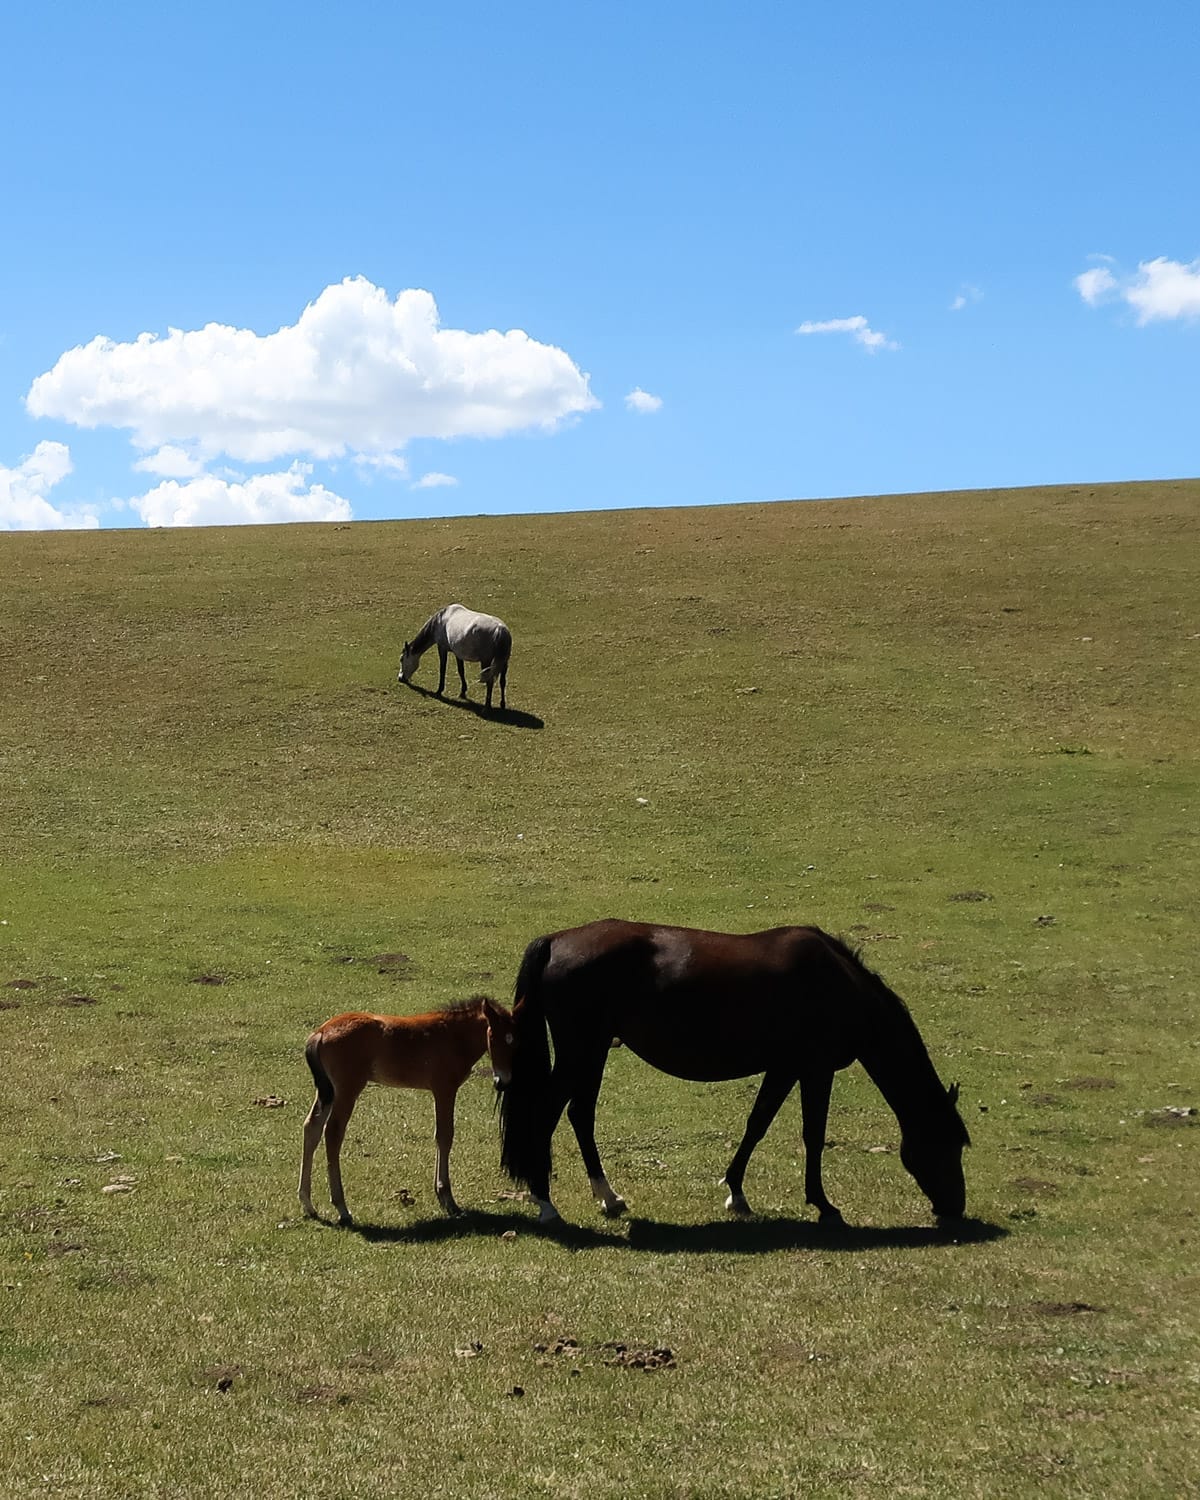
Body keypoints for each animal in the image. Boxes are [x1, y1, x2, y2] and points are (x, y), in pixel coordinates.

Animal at [501, 918, 972, 1224]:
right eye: (949, 1145)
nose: (955, 1207)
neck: (838, 984)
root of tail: (556, 941)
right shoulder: (815, 1070)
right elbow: (813, 1135)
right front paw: (823, 1204)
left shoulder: (784, 1068)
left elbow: (757, 1124)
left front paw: (736, 1193)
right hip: (582, 1052)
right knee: (549, 1114)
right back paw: (546, 1202)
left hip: (592, 1052)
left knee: (580, 1115)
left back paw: (608, 1198)